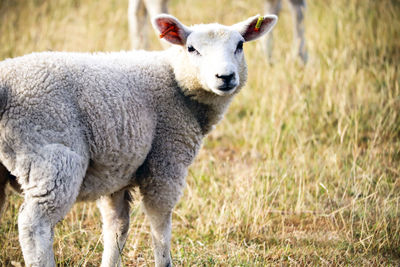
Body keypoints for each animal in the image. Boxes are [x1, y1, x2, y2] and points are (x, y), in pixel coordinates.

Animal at [0, 13, 276, 266]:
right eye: (191, 48)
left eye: (240, 45)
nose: (226, 77)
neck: (176, 84)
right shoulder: (166, 161)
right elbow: (160, 227)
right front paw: (164, 260)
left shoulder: (116, 169)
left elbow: (117, 227)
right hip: (52, 156)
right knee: (34, 226)